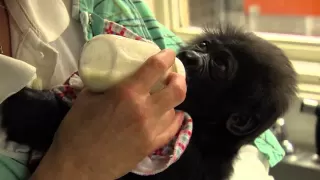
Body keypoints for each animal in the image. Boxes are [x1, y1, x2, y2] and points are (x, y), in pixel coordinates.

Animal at [0, 24, 296, 180]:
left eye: (220, 66)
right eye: (204, 47)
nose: (189, 57)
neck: (209, 133)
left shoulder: (183, 152)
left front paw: (26, 106)